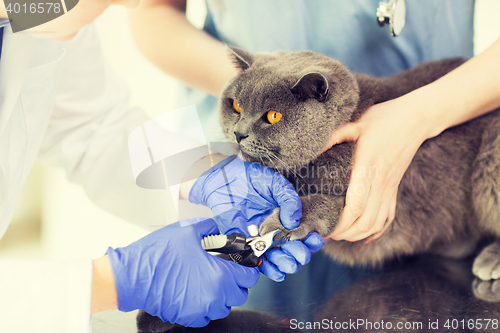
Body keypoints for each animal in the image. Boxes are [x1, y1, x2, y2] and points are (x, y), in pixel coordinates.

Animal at [221, 47, 500, 286]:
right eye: (236, 106)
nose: (239, 133)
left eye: (273, 116)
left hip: (491, 156)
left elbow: (317, 202)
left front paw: (279, 224)